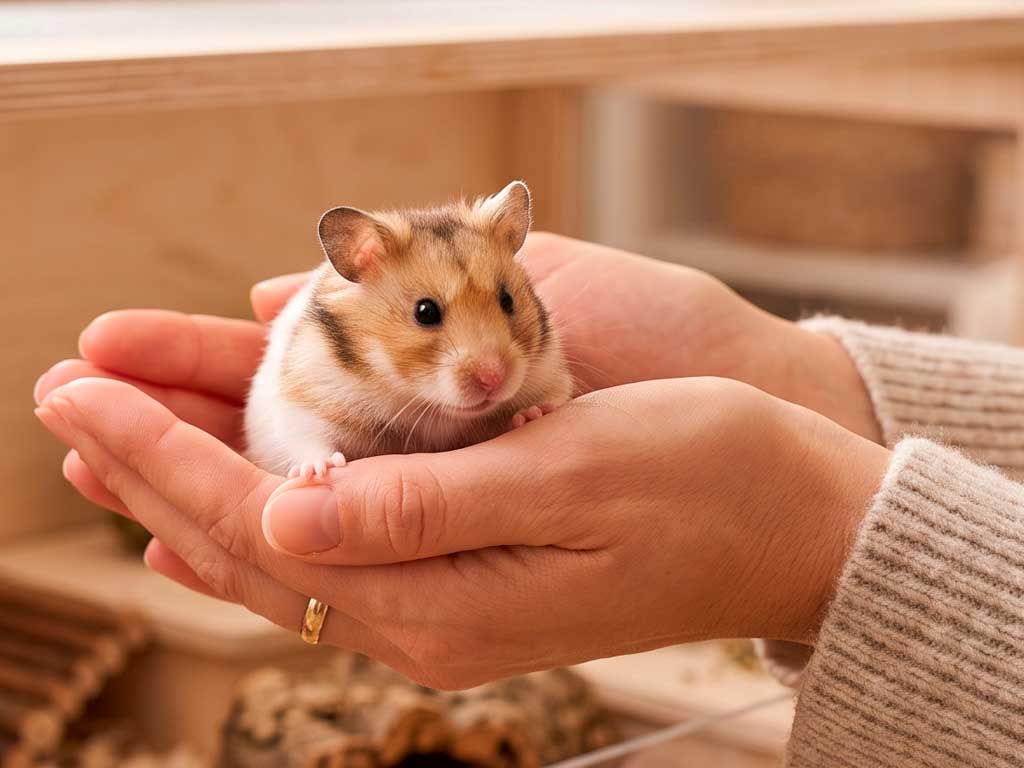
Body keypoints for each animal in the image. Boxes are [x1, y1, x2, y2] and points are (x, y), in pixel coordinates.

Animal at [244, 181, 573, 479]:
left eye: (507, 300)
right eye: (425, 312)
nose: (493, 379)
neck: (427, 405)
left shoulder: (549, 371)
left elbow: (554, 395)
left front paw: (534, 413)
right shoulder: (306, 400)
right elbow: (307, 440)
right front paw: (318, 471)